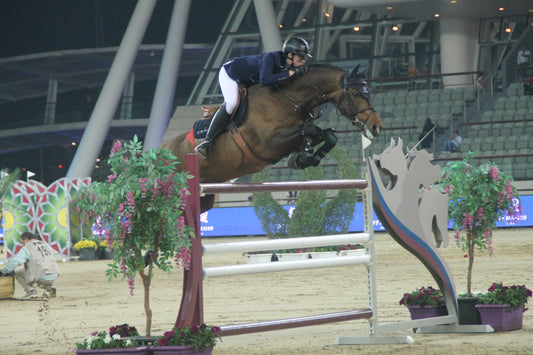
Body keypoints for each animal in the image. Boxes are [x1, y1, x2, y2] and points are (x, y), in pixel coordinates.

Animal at [163, 63, 382, 209]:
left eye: (369, 92)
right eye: (356, 94)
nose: (376, 127)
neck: (288, 99)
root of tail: (161, 149)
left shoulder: (291, 141)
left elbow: (326, 136)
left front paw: (304, 159)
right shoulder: (269, 143)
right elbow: (309, 130)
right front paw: (304, 157)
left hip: (206, 195)